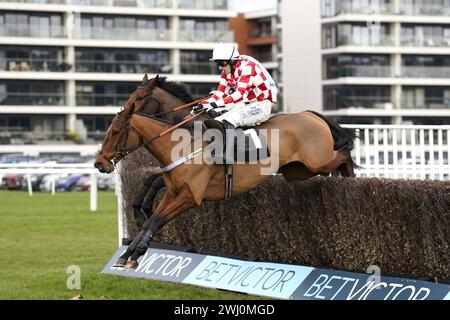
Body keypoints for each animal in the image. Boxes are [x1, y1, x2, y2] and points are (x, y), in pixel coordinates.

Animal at [94, 74, 356, 268]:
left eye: (115, 132)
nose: (100, 163)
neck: (185, 141)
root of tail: (310, 115)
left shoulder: (190, 197)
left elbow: (156, 214)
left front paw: (137, 244)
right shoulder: (174, 191)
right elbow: (152, 206)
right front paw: (129, 250)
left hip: (318, 160)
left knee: (344, 152)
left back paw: (350, 180)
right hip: (298, 170)